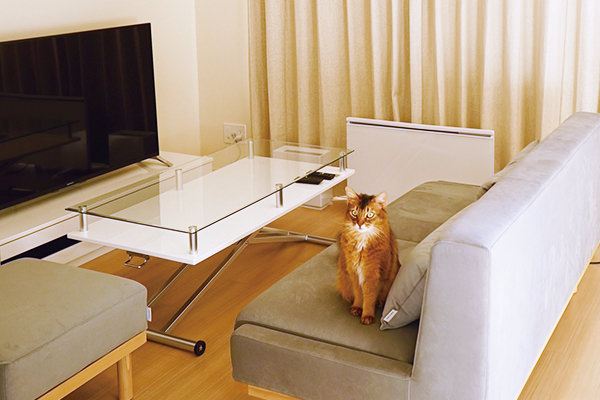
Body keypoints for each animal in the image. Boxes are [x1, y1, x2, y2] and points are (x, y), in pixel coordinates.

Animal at [336, 186, 400, 325]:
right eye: (354, 213)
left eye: (370, 214)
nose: (359, 224)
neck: (362, 241)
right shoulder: (353, 271)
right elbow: (359, 292)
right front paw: (357, 307)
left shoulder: (375, 273)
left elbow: (370, 296)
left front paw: (367, 315)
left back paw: (381, 302)